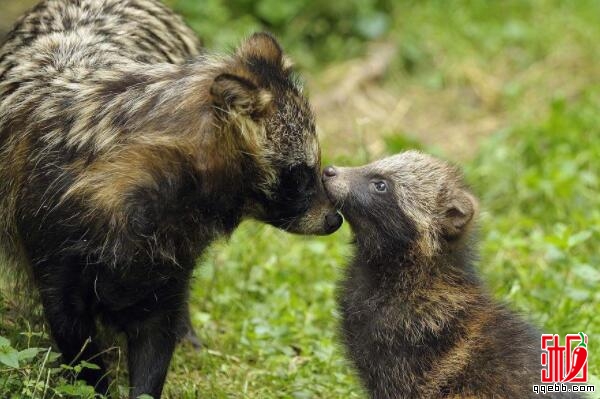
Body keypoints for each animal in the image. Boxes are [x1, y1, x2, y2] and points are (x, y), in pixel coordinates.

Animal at [0, 0, 342, 396]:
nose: (336, 218)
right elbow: (80, 351)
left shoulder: (166, 269)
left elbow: (156, 343)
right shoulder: (56, 261)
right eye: (299, 173)